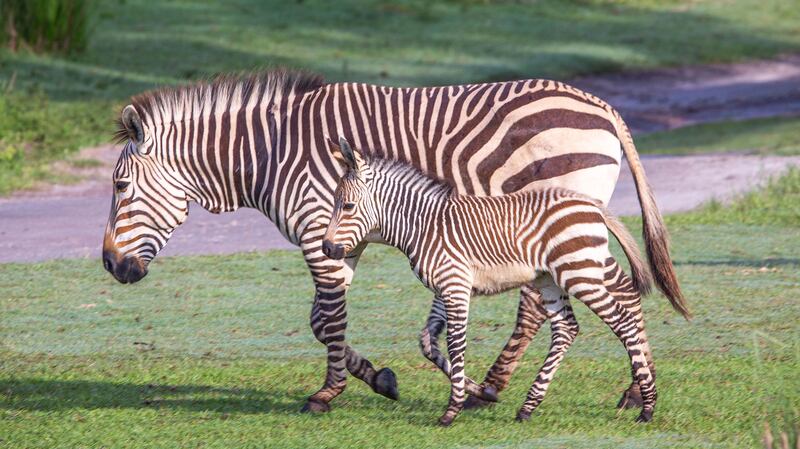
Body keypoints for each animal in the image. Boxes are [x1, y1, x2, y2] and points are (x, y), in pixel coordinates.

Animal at [322, 138, 680, 426]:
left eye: (348, 206)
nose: (327, 249)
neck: (424, 225)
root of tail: (590, 204)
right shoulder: (447, 287)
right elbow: (428, 343)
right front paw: (481, 392)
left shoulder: (455, 286)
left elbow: (455, 344)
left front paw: (451, 411)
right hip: (551, 278)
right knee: (567, 329)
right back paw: (528, 407)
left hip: (579, 273)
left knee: (622, 321)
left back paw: (647, 407)